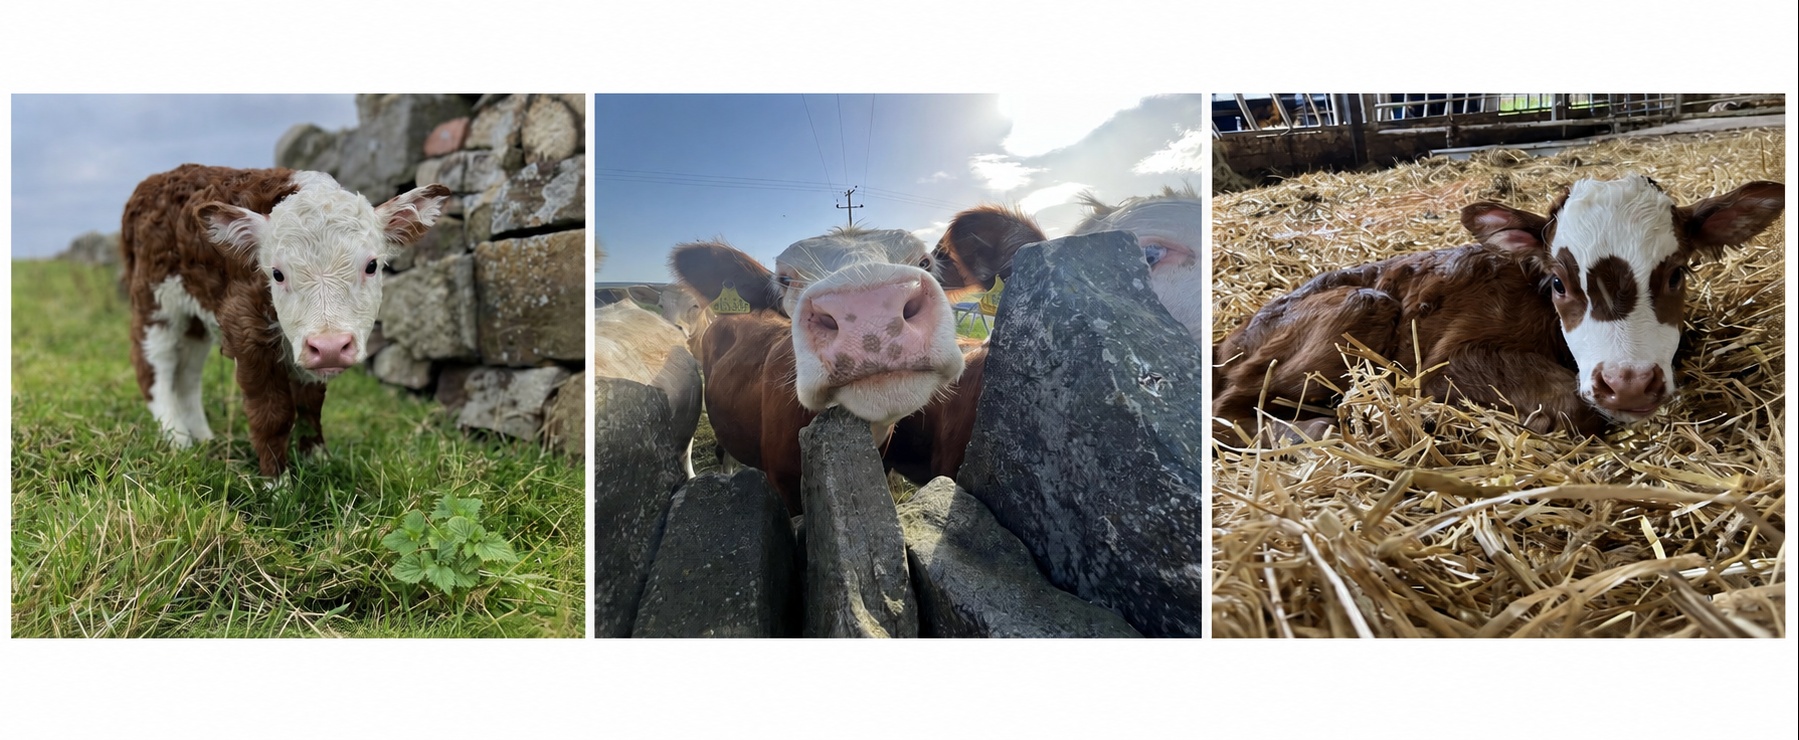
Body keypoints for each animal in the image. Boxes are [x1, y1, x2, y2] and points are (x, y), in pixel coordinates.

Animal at [121, 164, 450, 476]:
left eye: (371, 266)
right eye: (277, 274)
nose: (330, 347)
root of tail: (155, 180)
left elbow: (310, 406)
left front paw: (318, 461)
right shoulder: (245, 327)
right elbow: (272, 413)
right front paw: (278, 484)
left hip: (195, 317)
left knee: (188, 374)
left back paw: (204, 440)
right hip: (156, 301)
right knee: (155, 368)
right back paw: (178, 441)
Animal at [1212, 175, 1785, 443]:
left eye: (1677, 274)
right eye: (1558, 281)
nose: (1627, 384)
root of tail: (1230, 337)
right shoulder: (1450, 361)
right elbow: (1575, 407)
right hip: (1357, 303)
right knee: (1228, 407)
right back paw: (1319, 429)